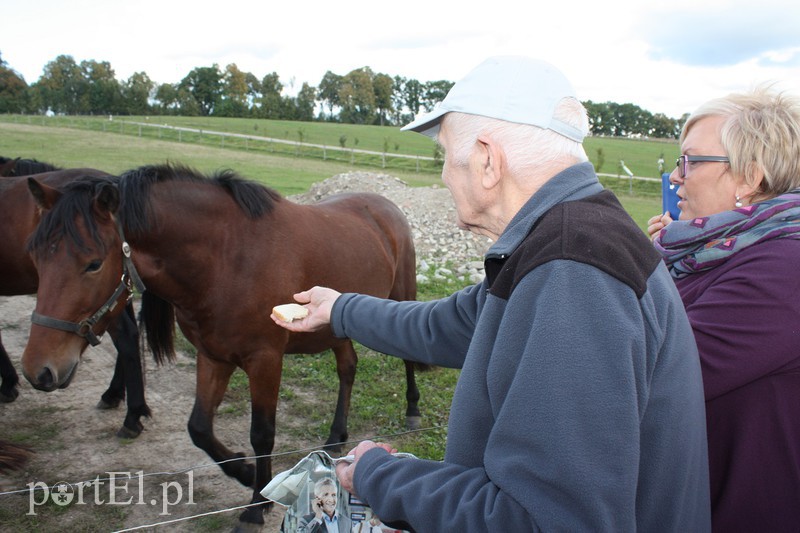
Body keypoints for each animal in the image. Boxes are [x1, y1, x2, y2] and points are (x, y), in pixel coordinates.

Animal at [0, 166, 155, 436]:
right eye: (35, 257)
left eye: (94, 265)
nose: (37, 371)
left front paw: (8, 384)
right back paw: (114, 395)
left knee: (126, 335)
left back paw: (130, 414)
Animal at [21, 164, 424, 524]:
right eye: (35, 256)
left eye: (93, 264)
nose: (38, 370)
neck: (226, 259)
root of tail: (383, 206)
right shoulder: (213, 356)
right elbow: (199, 427)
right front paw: (244, 472)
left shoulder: (265, 360)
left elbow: (262, 434)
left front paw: (256, 504)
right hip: (336, 324)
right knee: (347, 367)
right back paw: (336, 436)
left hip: (401, 297)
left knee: (407, 358)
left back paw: (412, 409)